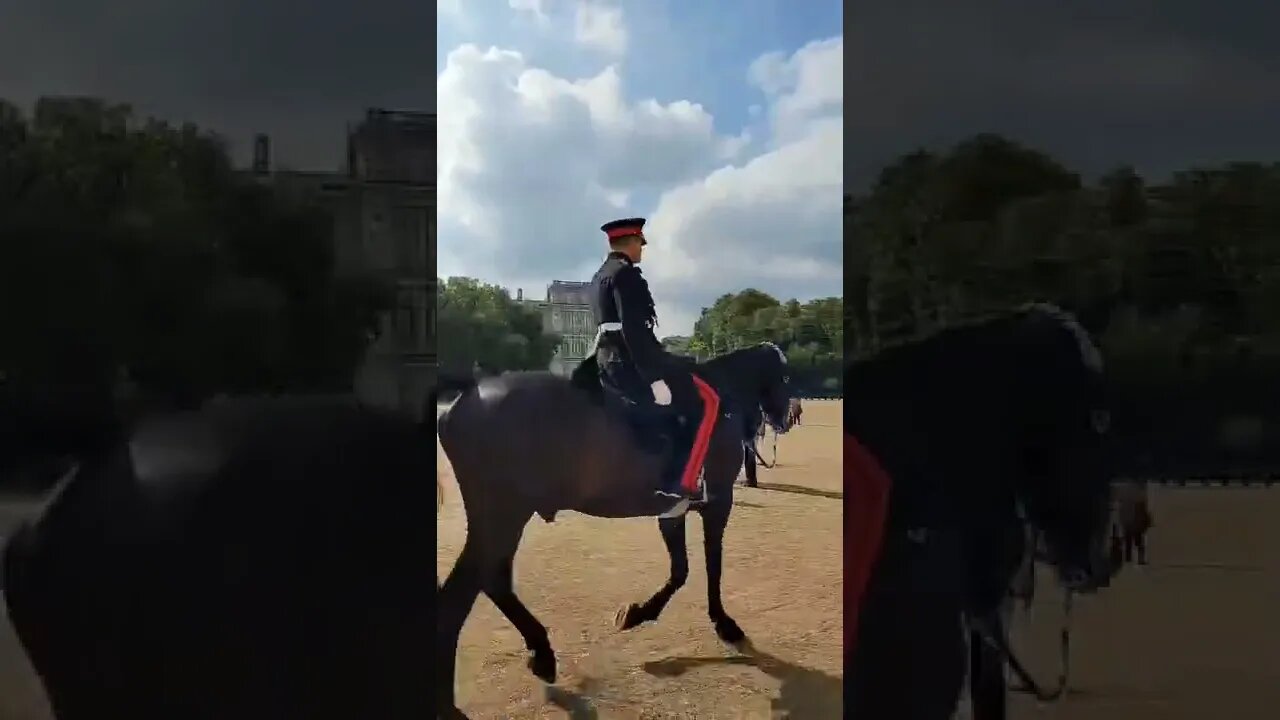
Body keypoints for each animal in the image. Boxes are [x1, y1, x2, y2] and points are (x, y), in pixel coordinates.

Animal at [437, 340, 788, 717]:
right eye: (785, 375)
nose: (784, 417)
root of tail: (471, 391)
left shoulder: (673, 511)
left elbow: (680, 569)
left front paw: (637, 613)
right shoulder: (718, 503)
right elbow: (712, 565)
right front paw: (724, 623)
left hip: (501, 518)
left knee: (489, 582)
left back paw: (540, 655)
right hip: (504, 516)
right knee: (466, 592)